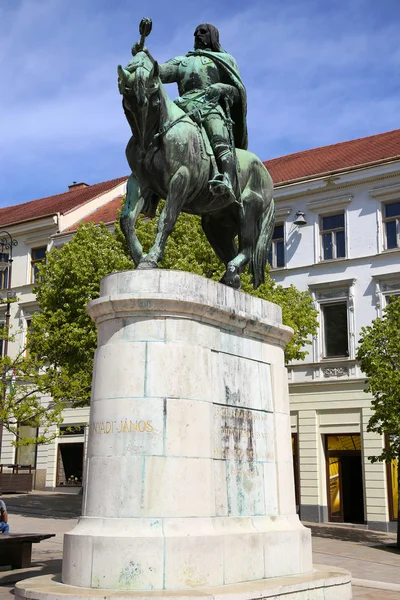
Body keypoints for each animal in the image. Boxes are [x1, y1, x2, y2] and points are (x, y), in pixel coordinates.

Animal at [119, 50, 276, 290]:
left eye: (153, 91)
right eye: (126, 99)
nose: (144, 145)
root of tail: (266, 173)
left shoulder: (180, 179)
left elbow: (166, 219)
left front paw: (152, 258)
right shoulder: (139, 182)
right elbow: (127, 220)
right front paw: (139, 257)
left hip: (248, 210)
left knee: (247, 248)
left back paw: (232, 272)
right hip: (216, 224)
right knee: (230, 250)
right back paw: (231, 279)